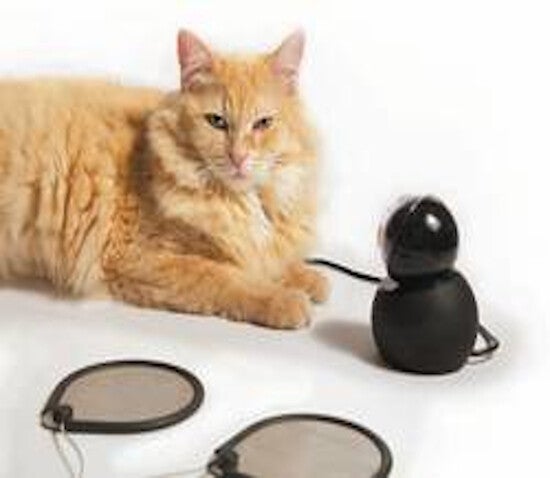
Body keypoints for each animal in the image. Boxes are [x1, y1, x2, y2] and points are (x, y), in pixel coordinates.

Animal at [0, 29, 329, 329]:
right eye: (217, 121)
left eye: (263, 123)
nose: (239, 157)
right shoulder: (140, 257)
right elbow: (227, 278)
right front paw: (284, 300)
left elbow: (270, 262)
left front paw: (309, 278)